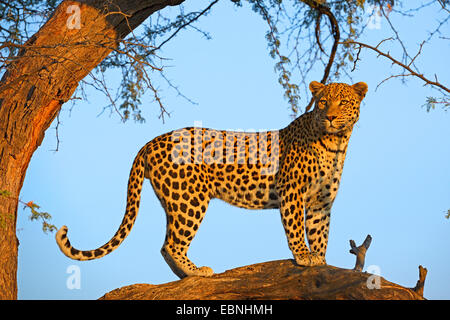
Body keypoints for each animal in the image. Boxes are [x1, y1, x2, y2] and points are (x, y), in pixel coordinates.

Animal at [56, 81, 368, 278]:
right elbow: (295, 228)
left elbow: (319, 232)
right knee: (172, 244)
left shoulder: (321, 202)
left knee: (166, 245)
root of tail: (151, 142)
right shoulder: (292, 192)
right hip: (189, 199)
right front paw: (304, 256)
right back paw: (198, 272)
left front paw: (321, 260)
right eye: (323, 102)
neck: (335, 143)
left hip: (175, 199)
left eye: (343, 102)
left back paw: (185, 277)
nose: (330, 117)